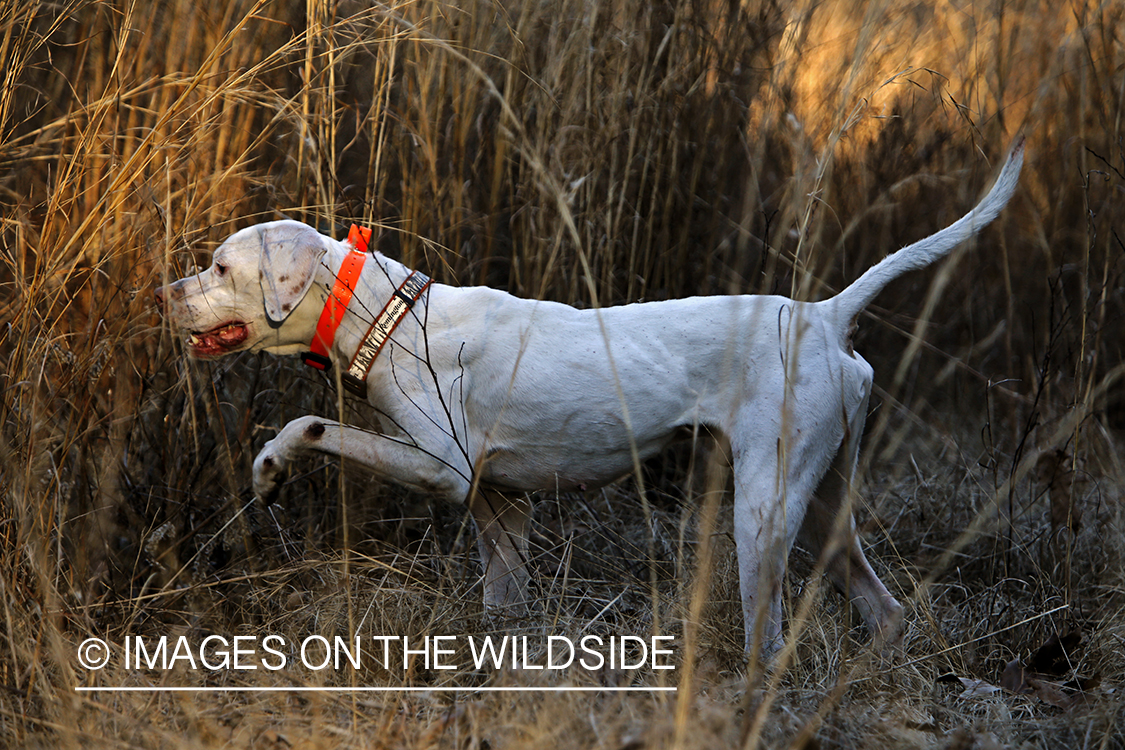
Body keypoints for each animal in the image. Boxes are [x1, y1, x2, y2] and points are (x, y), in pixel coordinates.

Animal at [154, 140, 1026, 656]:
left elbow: (310, 422)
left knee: (769, 632)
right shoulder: (498, 506)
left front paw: (270, 465)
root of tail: (823, 313)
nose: (164, 292)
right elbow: (502, 599)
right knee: (882, 605)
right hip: (821, 503)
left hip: (763, 512)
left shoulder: (442, 467)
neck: (384, 314)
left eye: (220, 268)